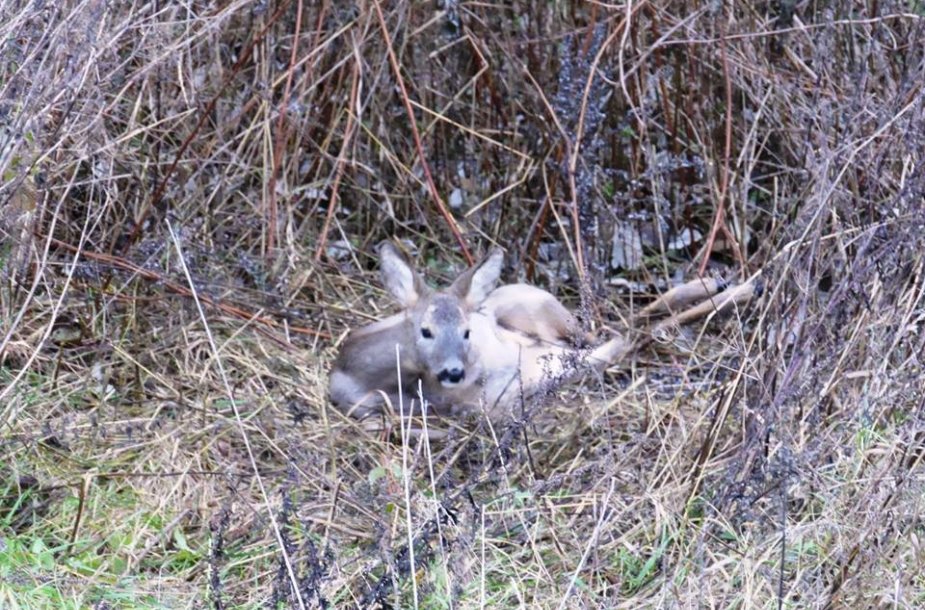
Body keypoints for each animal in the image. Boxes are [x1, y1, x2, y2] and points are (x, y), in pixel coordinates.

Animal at [328, 242, 756, 418]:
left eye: (466, 332)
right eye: (426, 331)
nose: (454, 371)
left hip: (533, 308)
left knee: (620, 327)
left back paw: (726, 284)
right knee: (627, 334)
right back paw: (737, 287)